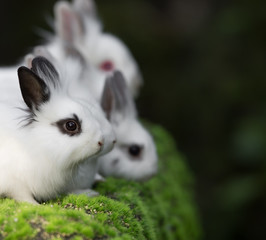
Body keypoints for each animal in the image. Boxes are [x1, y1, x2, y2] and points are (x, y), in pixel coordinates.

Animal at [0, 56, 115, 204]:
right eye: (71, 125)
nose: (100, 142)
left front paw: (90, 192)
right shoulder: (15, 182)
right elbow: (23, 195)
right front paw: (36, 205)